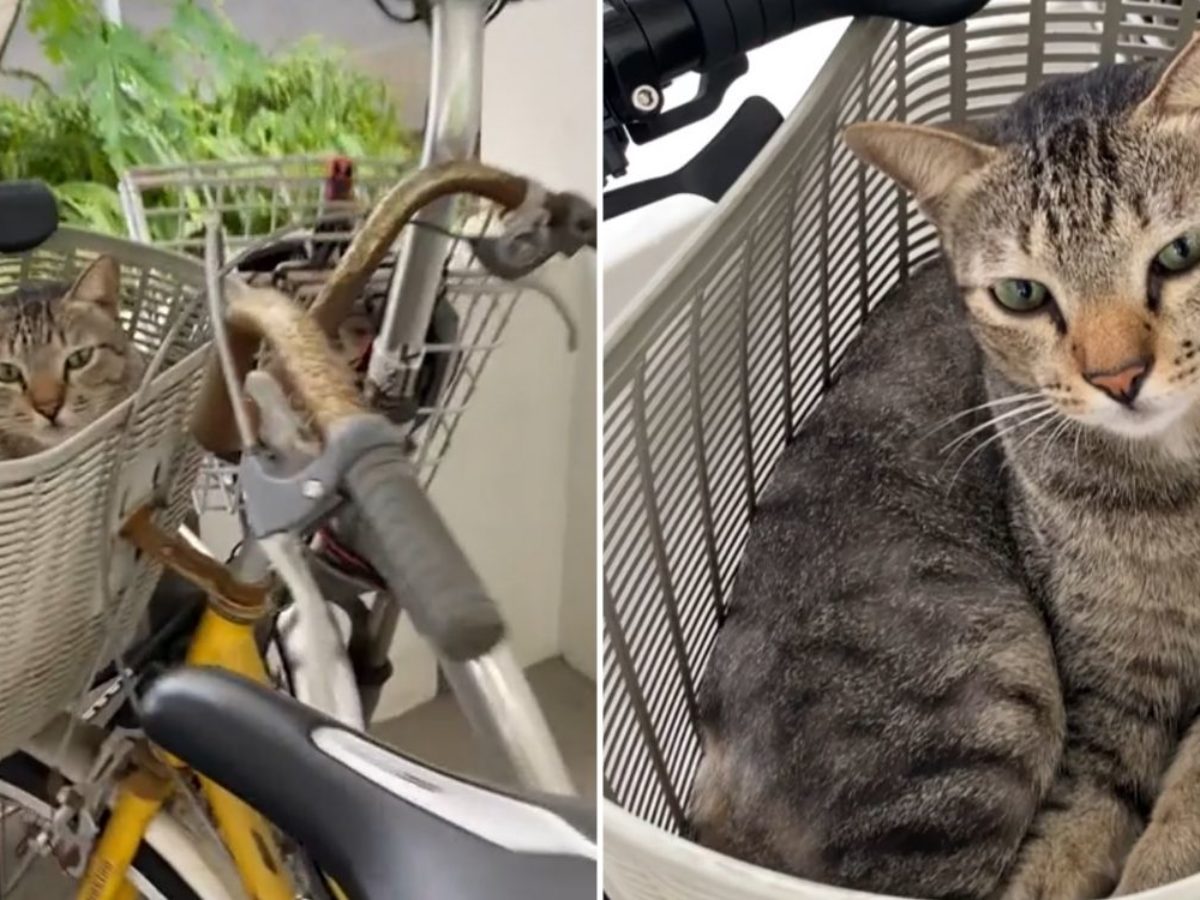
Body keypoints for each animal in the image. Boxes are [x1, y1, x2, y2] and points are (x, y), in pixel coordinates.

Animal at [696, 31, 1200, 897]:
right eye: (1023, 294)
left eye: (1181, 251)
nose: (1118, 378)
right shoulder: (1111, 682)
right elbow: (1077, 821)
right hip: (983, 696)